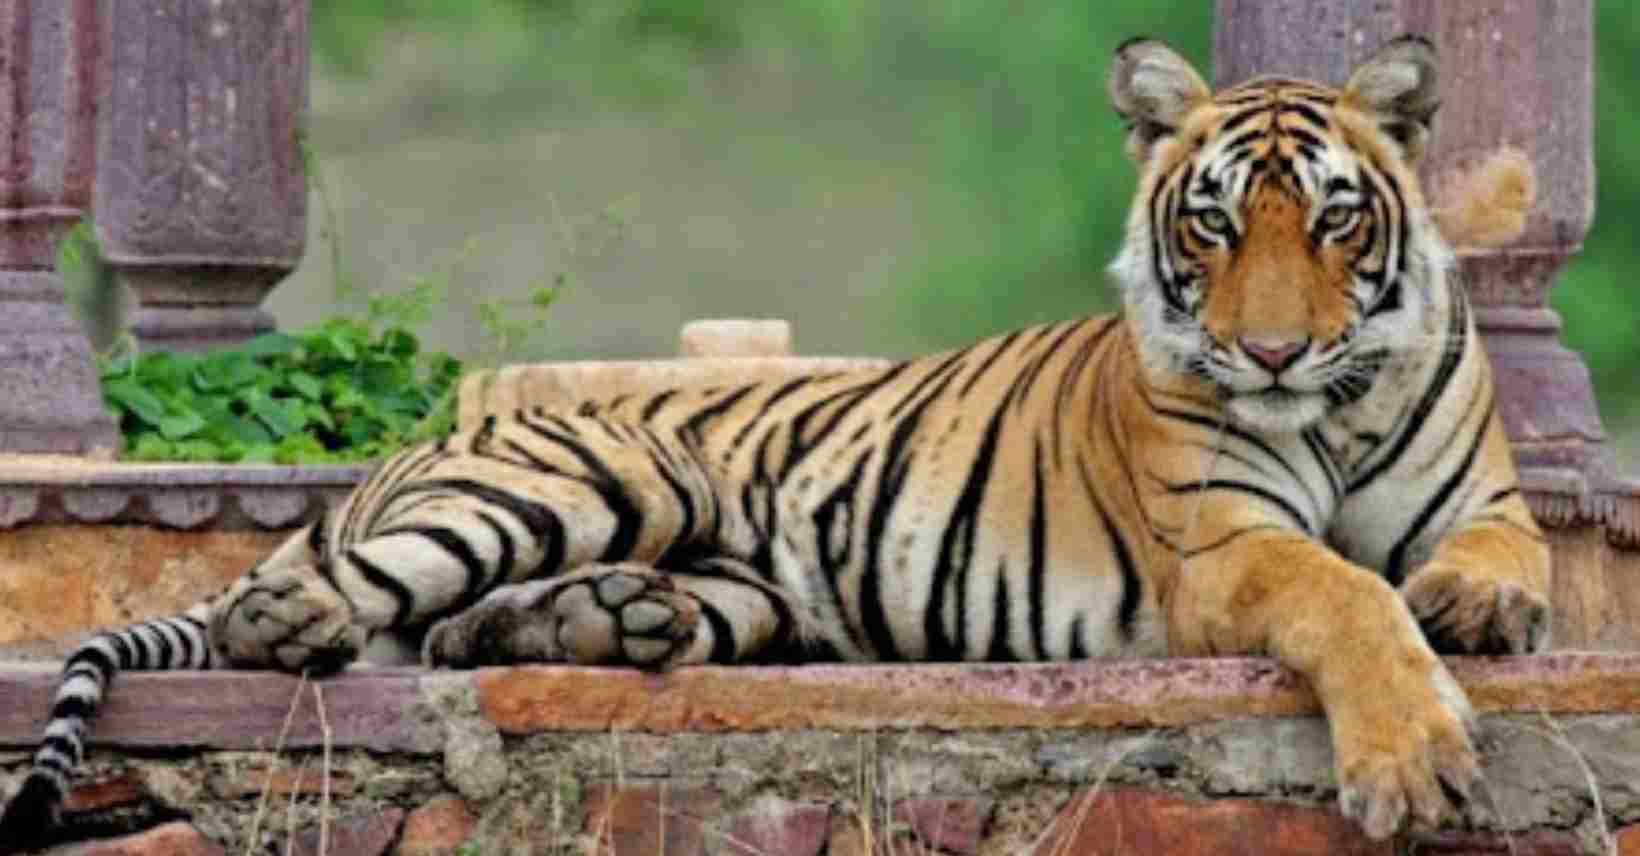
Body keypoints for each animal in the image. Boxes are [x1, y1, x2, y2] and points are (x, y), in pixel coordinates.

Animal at [0, 34, 1549, 850]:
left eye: (1335, 219)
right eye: (1214, 223)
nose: (1271, 351)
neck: (1332, 406)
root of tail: (415, 445)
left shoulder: (1480, 497)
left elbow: (1498, 557)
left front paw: (1478, 610)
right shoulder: (1221, 550)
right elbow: (1341, 595)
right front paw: (1414, 762)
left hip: (740, 585)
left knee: (452, 634)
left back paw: (606, 624)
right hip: (590, 474)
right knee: (309, 604)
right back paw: (308, 617)